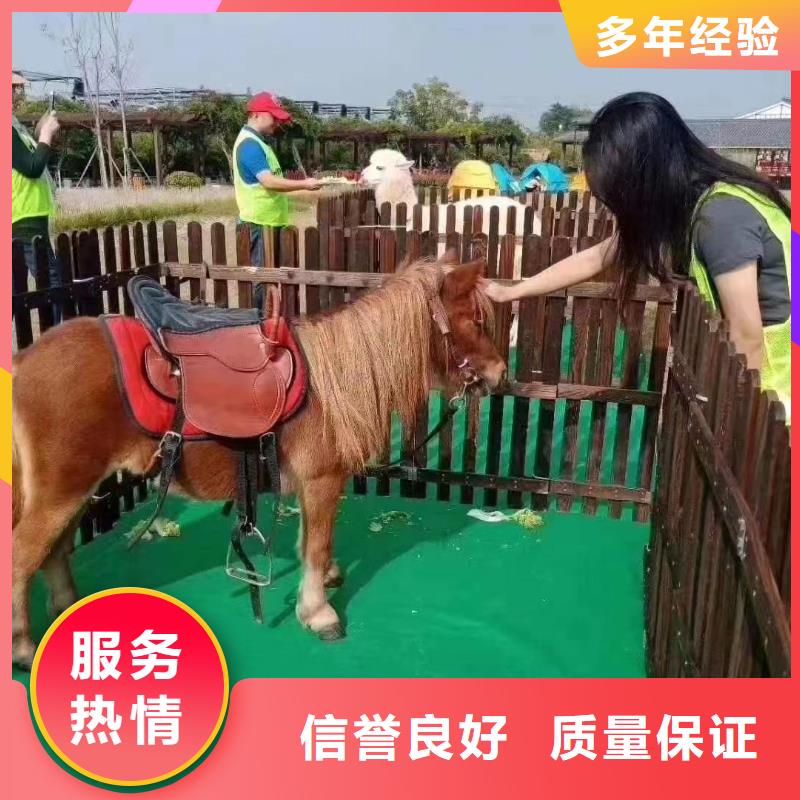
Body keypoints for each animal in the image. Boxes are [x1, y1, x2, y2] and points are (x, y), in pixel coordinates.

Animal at [11, 251, 506, 668]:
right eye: (475, 319)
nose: (501, 373)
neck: (334, 382)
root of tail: (23, 362)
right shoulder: (323, 479)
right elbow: (318, 543)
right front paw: (318, 613)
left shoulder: (308, 485)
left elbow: (311, 540)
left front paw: (325, 579)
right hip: (61, 493)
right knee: (22, 557)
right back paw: (22, 648)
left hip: (78, 490)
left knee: (54, 552)